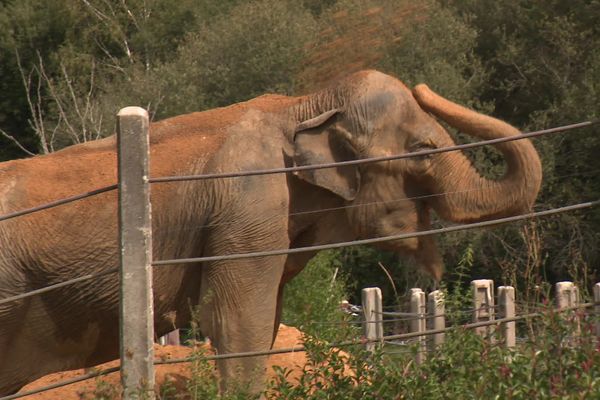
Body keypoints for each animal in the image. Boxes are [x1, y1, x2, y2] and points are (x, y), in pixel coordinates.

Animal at [0, 70, 544, 396]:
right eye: (424, 151)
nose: (425, 84)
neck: (301, 104)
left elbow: (262, 323)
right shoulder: (248, 207)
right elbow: (237, 322)